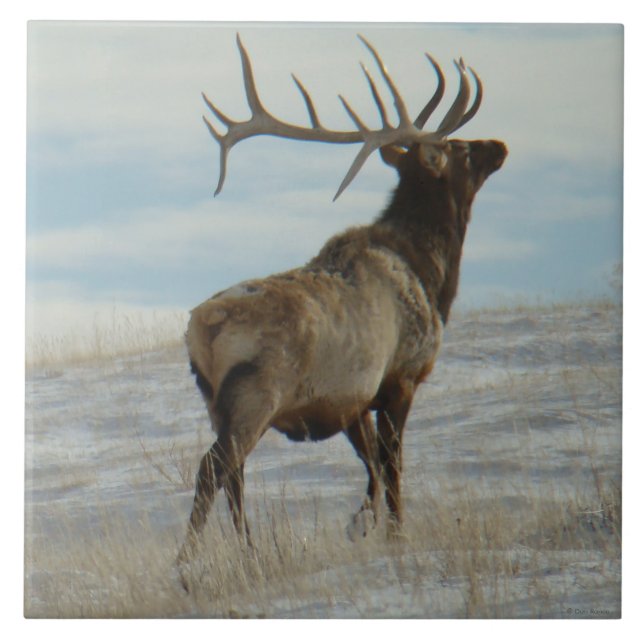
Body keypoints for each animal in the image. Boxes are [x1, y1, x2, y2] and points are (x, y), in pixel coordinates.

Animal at [177, 34, 507, 567]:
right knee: (215, 467)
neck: (431, 274)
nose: (498, 145)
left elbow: (370, 463)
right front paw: (394, 532)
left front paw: (362, 522)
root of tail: (201, 329)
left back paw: (250, 551)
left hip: (214, 400)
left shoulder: (351, 398)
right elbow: (392, 464)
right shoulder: (400, 375)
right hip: (257, 392)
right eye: (456, 147)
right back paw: (186, 562)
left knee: (234, 474)